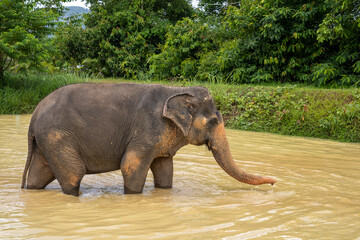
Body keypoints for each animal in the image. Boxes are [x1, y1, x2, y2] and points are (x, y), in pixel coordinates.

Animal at [21, 83, 278, 196]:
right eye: (214, 121)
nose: (275, 182)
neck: (176, 89)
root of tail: (33, 116)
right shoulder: (146, 129)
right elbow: (131, 165)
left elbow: (165, 168)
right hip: (58, 137)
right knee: (73, 174)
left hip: (48, 141)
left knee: (38, 175)